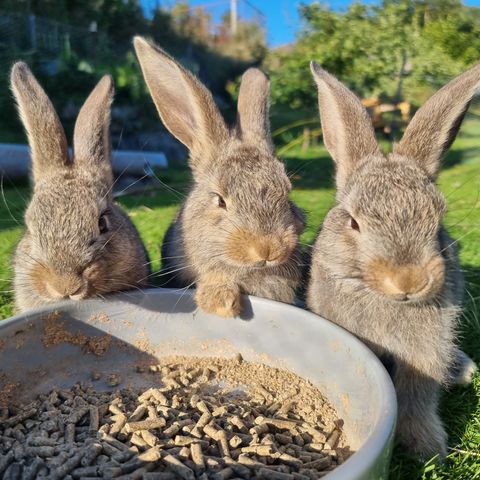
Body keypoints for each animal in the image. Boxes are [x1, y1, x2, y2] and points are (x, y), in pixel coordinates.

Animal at [308, 62, 480, 460]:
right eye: (353, 222)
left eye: (438, 217)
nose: (408, 281)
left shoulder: (426, 353)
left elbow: (416, 394)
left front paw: (427, 449)